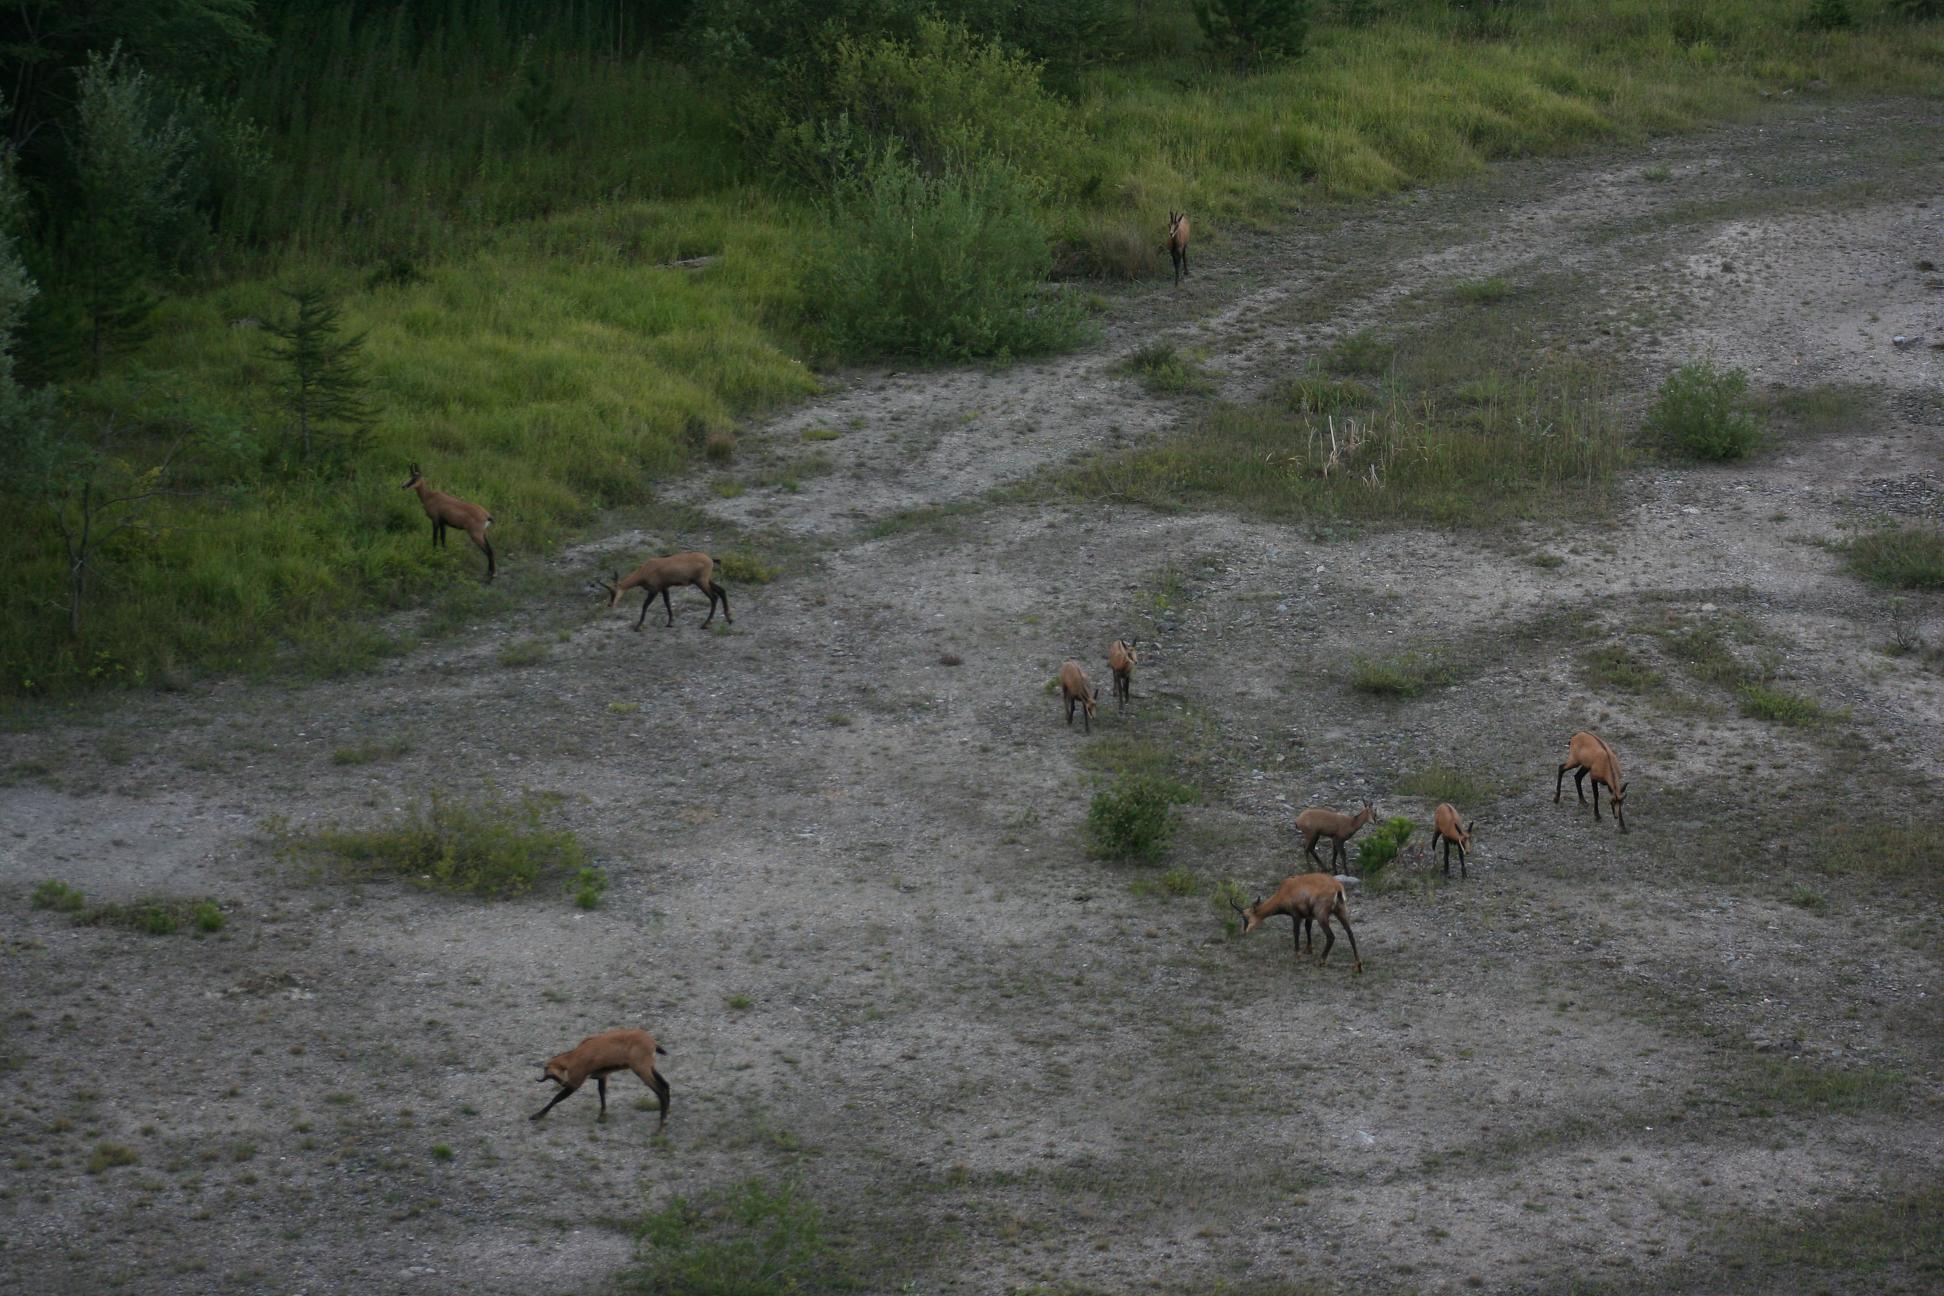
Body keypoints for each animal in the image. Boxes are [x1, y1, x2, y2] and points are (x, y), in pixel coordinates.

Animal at [532, 1025, 668, 1126]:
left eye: (553, 1076)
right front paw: (601, 1116)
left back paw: (661, 1124)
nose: (563, 1083)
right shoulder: (602, 1076)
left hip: (641, 1070)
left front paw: (536, 1116)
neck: (575, 1055)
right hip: (650, 1068)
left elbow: (556, 1098)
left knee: (660, 1090)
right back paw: (665, 1118)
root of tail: (652, 1042)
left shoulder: (576, 1082)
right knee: (666, 1085)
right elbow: (602, 1093)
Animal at [590, 551, 730, 629]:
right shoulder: (664, 588)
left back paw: (705, 624)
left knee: (713, 597)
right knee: (722, 590)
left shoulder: (654, 590)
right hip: (706, 580)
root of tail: (710, 559)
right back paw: (729, 619)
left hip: (701, 582)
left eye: (612, 591)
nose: (610, 604)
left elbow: (645, 606)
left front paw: (637, 626)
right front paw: (669, 623)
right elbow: (667, 603)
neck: (646, 569)